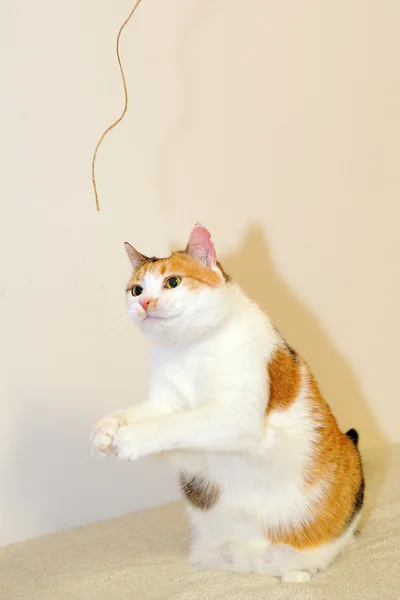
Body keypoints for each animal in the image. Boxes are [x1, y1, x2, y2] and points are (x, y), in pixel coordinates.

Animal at [91, 224, 366, 580]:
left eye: (172, 282)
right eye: (136, 290)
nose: (146, 302)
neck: (187, 349)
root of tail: (256, 562)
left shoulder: (236, 416)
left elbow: (177, 423)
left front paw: (131, 438)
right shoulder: (163, 402)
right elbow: (146, 414)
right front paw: (107, 430)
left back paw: (299, 572)